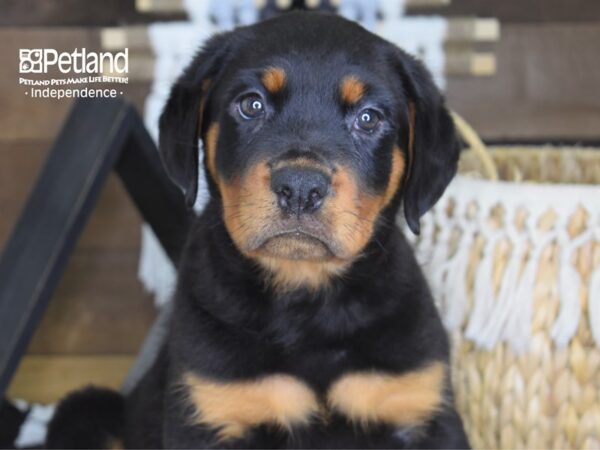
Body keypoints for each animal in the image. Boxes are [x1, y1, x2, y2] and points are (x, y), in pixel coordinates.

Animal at [47, 10, 468, 450]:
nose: (300, 187)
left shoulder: (421, 406)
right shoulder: (210, 411)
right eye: (251, 104)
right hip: (88, 412)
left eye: (369, 117)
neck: (306, 299)